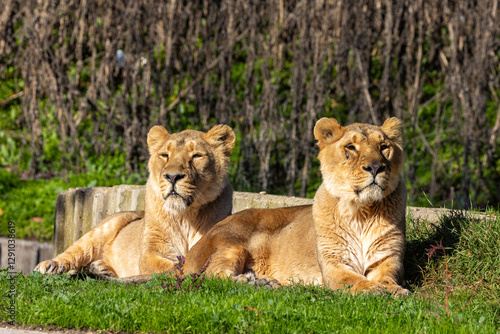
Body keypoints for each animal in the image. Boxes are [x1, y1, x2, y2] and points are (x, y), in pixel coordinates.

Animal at [36, 124, 235, 278]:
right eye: (165, 155)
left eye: (197, 156)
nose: (172, 176)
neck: (185, 216)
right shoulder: (151, 251)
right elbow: (171, 265)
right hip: (104, 228)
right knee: (74, 252)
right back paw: (50, 265)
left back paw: (101, 268)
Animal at [182, 117, 408, 294]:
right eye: (350, 148)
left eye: (384, 147)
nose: (375, 167)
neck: (362, 211)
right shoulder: (333, 264)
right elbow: (352, 280)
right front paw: (375, 289)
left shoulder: (388, 259)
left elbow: (387, 278)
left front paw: (395, 290)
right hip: (230, 243)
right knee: (212, 277)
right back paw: (252, 282)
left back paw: (262, 282)